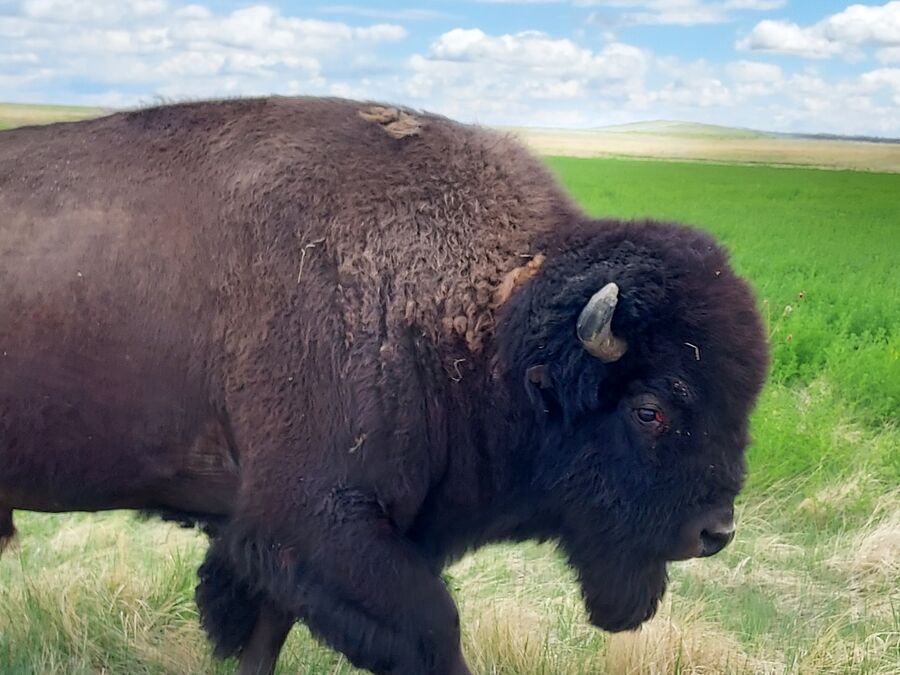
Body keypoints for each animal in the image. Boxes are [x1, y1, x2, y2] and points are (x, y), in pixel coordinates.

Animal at [0, 97, 768, 675]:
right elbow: (434, 629)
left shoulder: (294, 545)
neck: (486, 323)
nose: (715, 530)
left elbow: (266, 633)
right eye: (650, 409)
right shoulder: (316, 523)